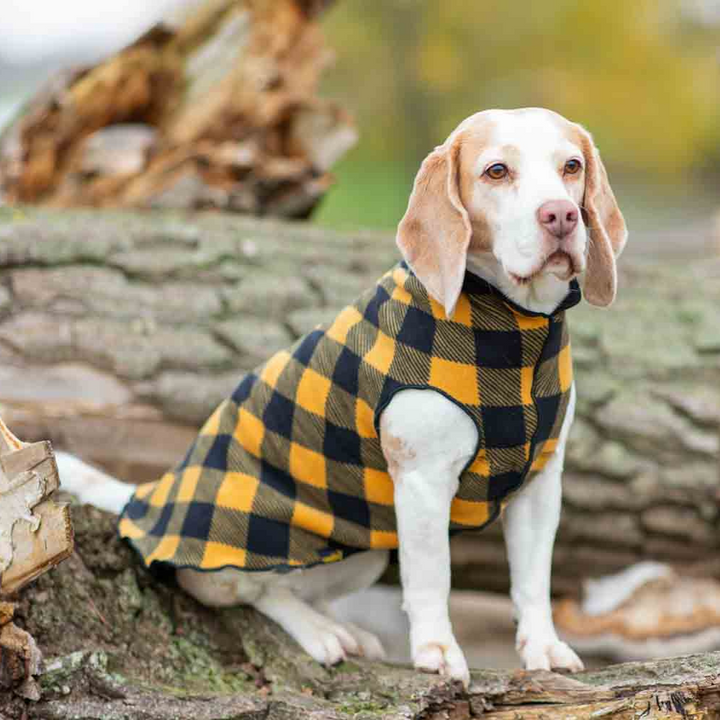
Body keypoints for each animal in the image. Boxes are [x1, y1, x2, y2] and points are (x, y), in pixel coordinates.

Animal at [59, 107, 628, 688]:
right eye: (497, 171)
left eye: (572, 166)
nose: (561, 216)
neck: (515, 328)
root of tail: (151, 496)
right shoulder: (423, 483)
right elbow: (433, 579)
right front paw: (437, 651)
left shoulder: (540, 482)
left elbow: (533, 581)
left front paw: (543, 648)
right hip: (250, 542)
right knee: (252, 590)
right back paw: (319, 633)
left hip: (364, 551)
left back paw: (344, 628)